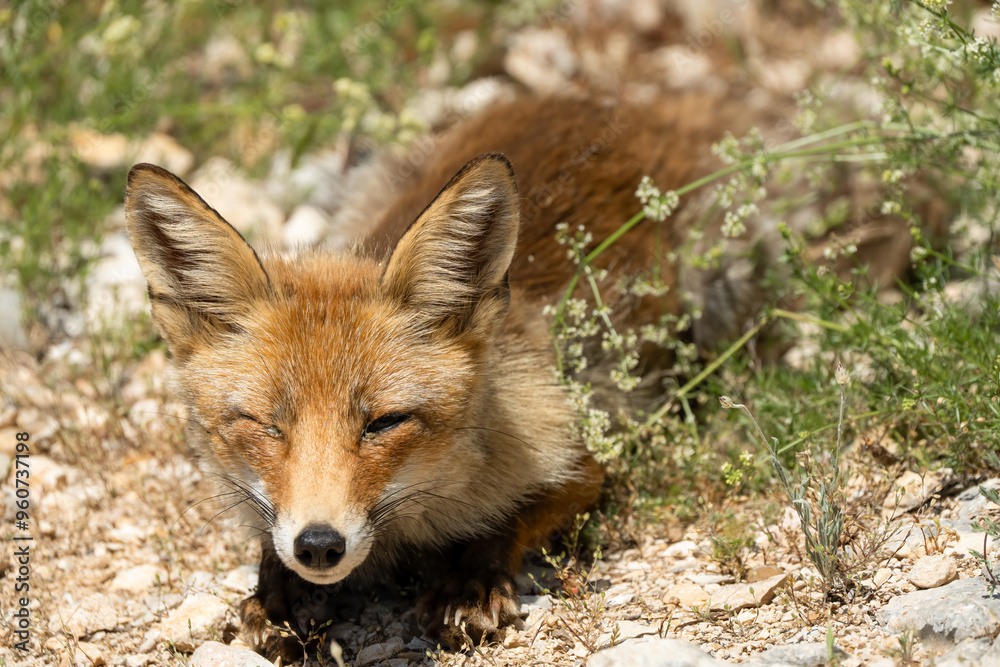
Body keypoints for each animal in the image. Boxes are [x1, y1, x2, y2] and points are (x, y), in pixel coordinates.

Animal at [124, 93, 769, 660]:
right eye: (265, 425)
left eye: (384, 423)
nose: (319, 546)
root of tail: (618, 104)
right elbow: (268, 547)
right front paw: (277, 598)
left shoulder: (580, 461)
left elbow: (508, 519)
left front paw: (468, 583)